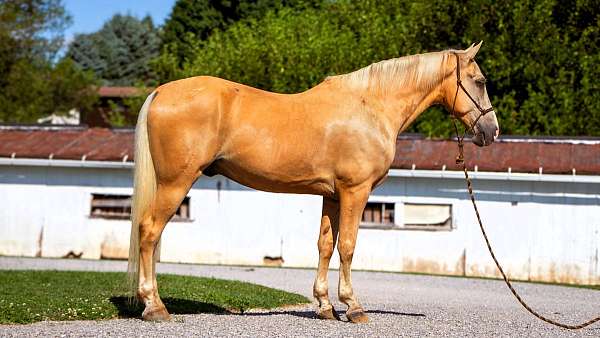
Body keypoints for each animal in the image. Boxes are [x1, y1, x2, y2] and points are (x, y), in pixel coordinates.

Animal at [129, 41, 500, 322]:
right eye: (480, 80)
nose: (491, 131)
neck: (371, 107)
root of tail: (161, 92)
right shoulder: (355, 192)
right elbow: (348, 245)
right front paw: (353, 307)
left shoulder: (332, 195)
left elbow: (325, 245)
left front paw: (324, 306)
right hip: (175, 183)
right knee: (149, 231)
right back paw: (155, 307)